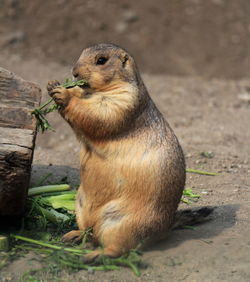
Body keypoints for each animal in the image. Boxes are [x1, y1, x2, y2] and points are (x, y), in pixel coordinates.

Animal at [46, 43, 211, 262]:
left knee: (117, 248)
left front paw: (63, 92)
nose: (74, 72)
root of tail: (166, 228)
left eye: (101, 60)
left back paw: (92, 256)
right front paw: (51, 84)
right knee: (89, 232)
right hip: (80, 206)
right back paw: (72, 236)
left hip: (122, 224)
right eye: (81, 53)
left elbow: (100, 114)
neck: (94, 92)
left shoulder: (125, 100)